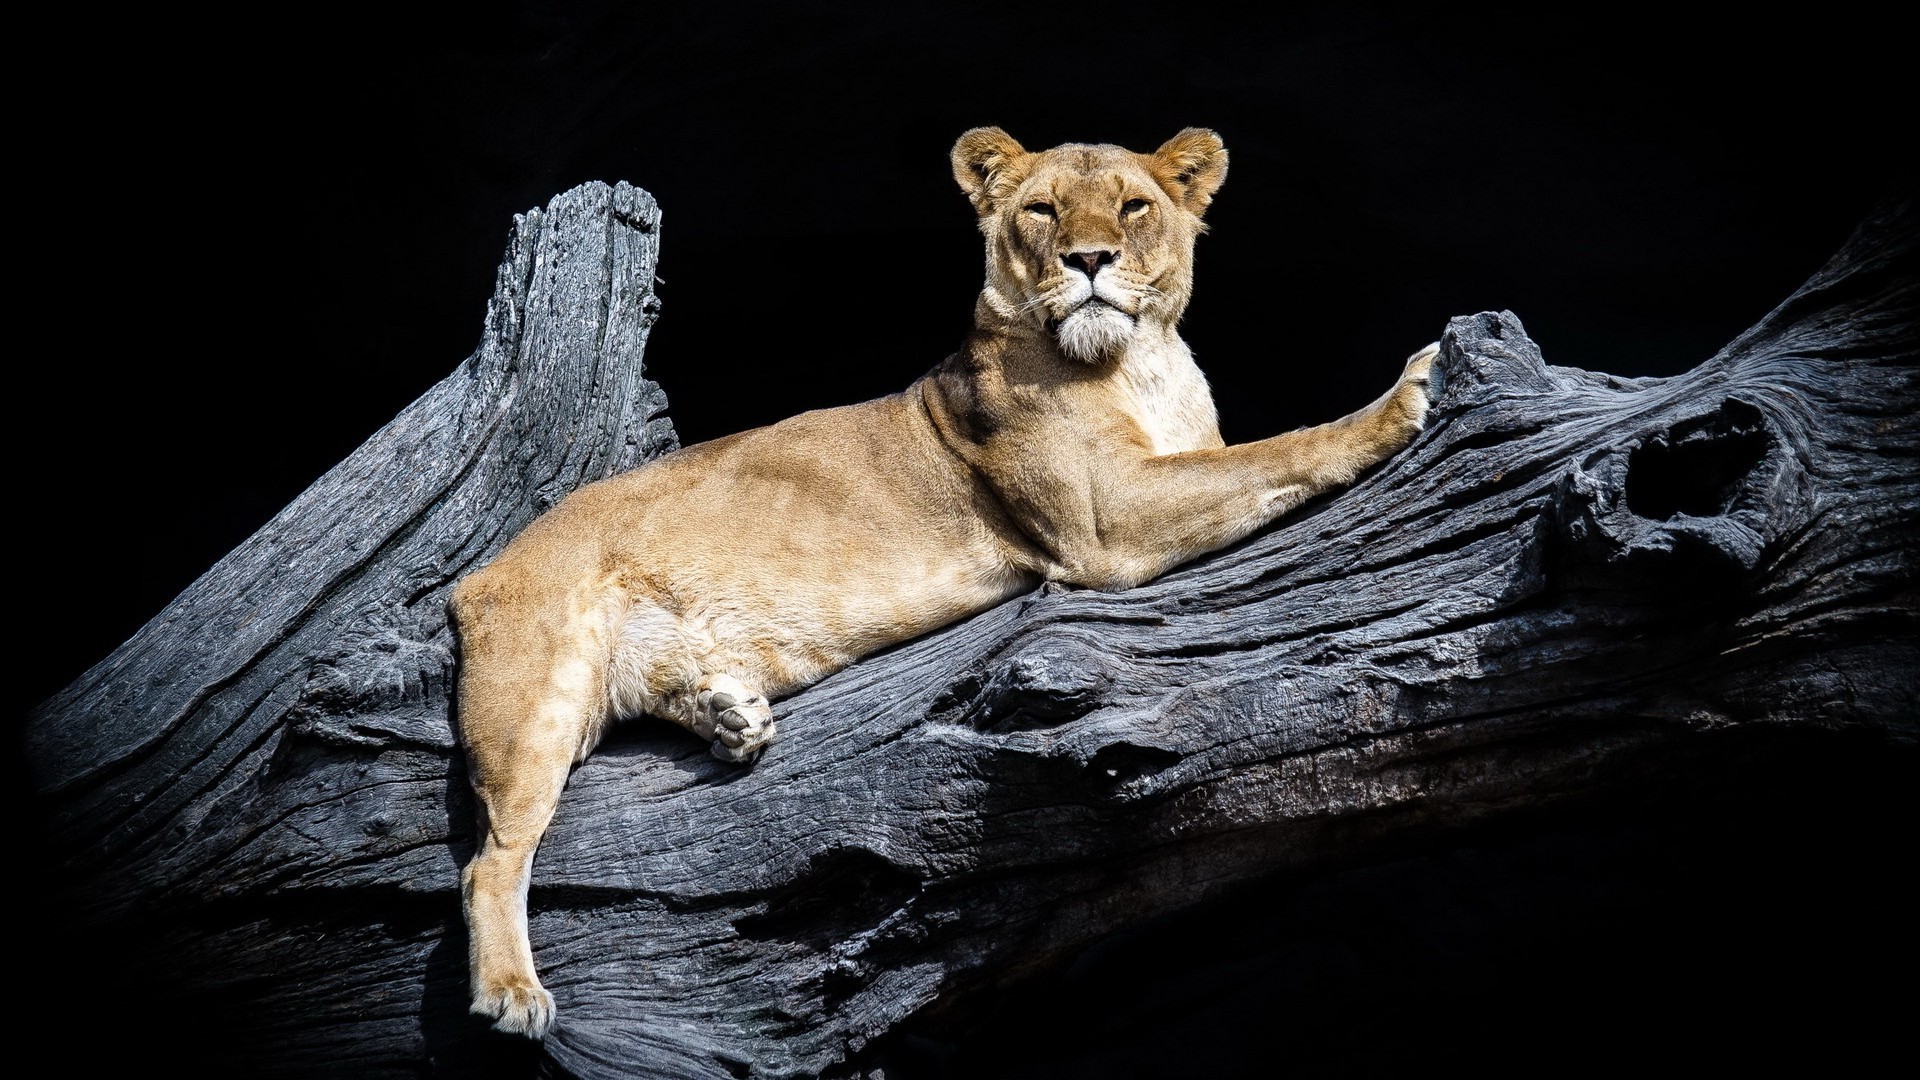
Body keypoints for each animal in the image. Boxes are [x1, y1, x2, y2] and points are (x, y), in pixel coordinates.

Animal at [453, 125, 1443, 1037]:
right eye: (1042, 210)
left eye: (1133, 207)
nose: (1090, 261)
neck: (1144, 365)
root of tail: (481, 572)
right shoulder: (1104, 522)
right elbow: (1274, 450)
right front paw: (1397, 402)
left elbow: (1243, 457)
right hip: (536, 696)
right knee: (489, 860)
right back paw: (512, 993)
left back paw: (728, 716)